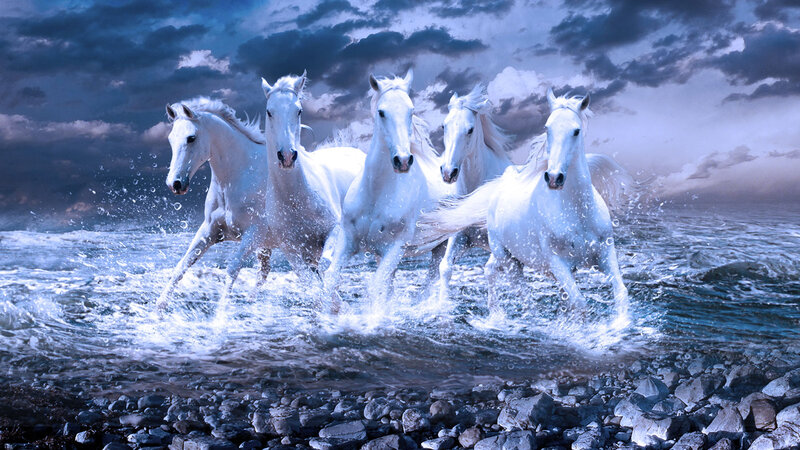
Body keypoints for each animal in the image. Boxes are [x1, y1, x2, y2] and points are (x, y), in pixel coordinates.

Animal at [158, 98, 276, 310]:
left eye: (191, 138)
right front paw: (158, 306)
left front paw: (220, 314)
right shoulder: (209, 231)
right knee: (265, 272)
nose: (175, 184)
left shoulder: (253, 233)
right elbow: (182, 265)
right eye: (171, 139)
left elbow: (233, 269)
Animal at [260, 71, 366, 301]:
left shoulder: (335, 229)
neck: (296, 198)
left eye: (298, 110)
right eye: (269, 112)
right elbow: (310, 282)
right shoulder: (292, 249)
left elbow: (327, 266)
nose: (287, 156)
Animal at [321, 69, 453, 307]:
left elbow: (375, 288)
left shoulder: (397, 247)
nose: (403, 161)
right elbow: (331, 280)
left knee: (431, 279)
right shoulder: (349, 240)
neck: (377, 194)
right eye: (381, 112)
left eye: (411, 111)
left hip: (442, 244)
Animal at [417, 88, 629, 319]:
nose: (448, 172)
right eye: (444, 126)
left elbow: (617, 292)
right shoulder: (460, 237)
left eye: (470, 130)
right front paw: (441, 308)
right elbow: (446, 268)